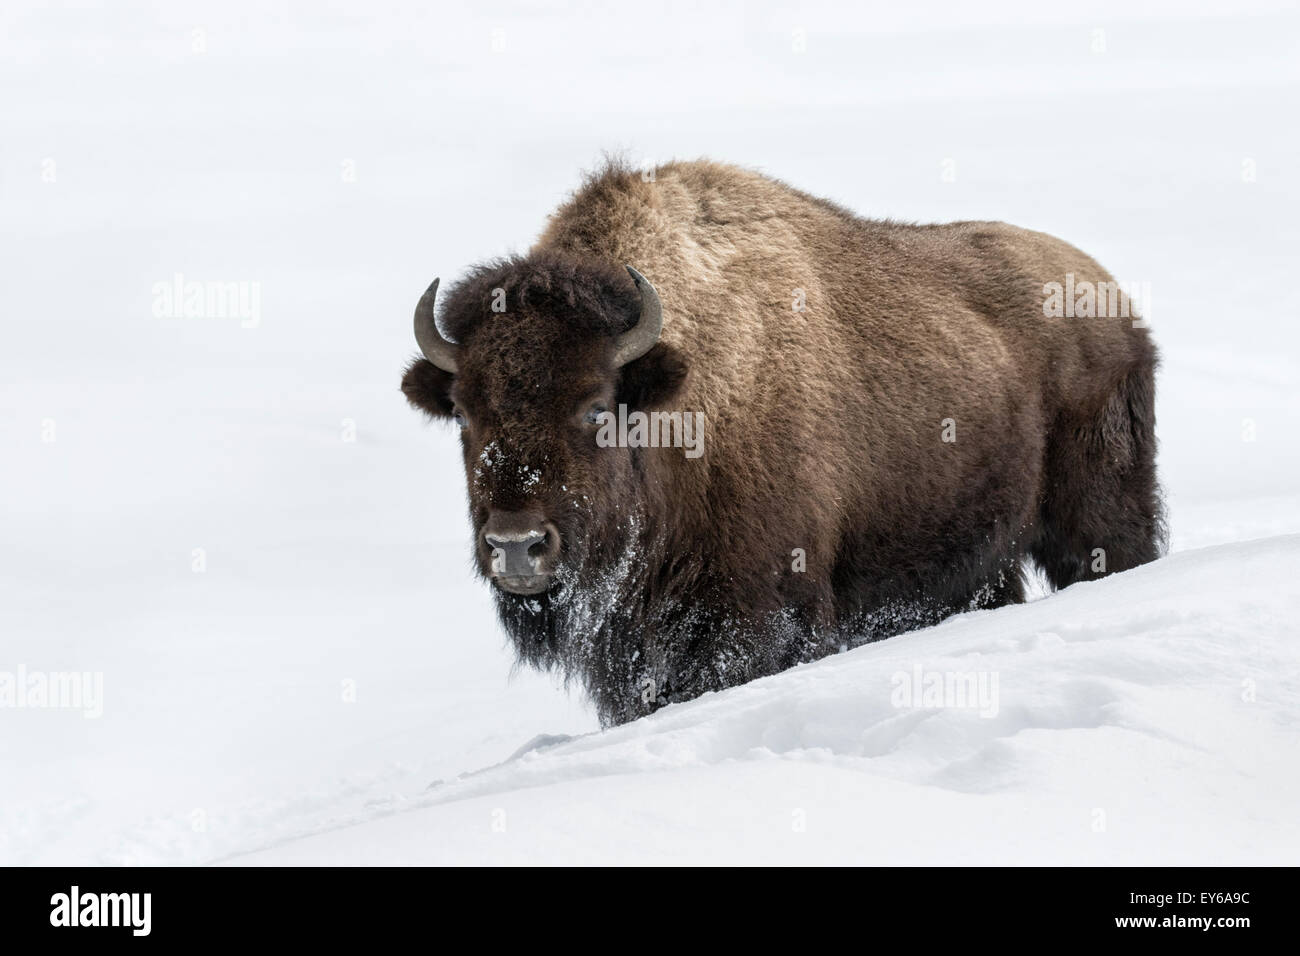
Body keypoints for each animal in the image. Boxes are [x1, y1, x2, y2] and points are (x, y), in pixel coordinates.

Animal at [402, 160, 1164, 726]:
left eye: (595, 408)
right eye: (464, 414)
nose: (516, 547)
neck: (676, 397)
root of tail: (1112, 300)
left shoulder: (758, 619)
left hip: (1097, 519)